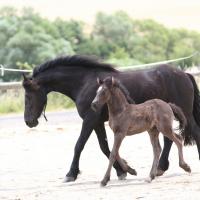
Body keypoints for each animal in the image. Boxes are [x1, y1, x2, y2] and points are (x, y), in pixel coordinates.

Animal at [22, 54, 200, 181]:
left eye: (28, 96)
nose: (28, 121)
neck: (83, 83)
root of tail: (185, 74)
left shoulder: (90, 120)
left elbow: (79, 145)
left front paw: (71, 174)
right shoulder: (98, 123)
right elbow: (106, 147)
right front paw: (125, 170)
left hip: (184, 113)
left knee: (192, 133)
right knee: (169, 140)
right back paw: (160, 168)